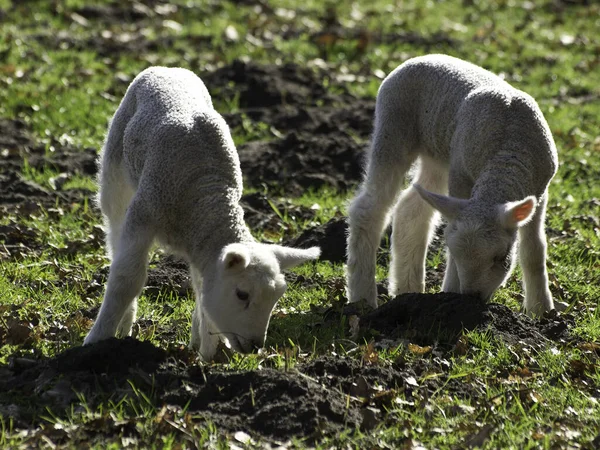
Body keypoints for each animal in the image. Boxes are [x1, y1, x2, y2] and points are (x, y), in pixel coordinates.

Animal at [83, 67, 324, 360]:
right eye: (242, 294)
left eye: (278, 296)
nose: (255, 346)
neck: (205, 192)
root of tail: (166, 68)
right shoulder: (144, 211)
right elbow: (126, 278)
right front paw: (96, 341)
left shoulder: (203, 243)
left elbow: (201, 286)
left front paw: (205, 350)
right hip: (115, 174)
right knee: (115, 239)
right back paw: (123, 322)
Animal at [346, 54, 556, 316]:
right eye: (454, 254)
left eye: (501, 258)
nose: (471, 298)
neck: (506, 157)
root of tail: (422, 57)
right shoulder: (460, 178)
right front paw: (452, 296)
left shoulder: (540, 192)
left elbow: (534, 250)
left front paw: (541, 311)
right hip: (393, 129)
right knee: (370, 210)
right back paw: (362, 297)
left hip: (437, 155)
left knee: (411, 209)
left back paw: (407, 290)